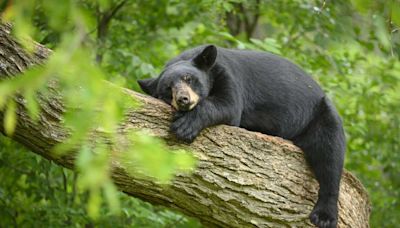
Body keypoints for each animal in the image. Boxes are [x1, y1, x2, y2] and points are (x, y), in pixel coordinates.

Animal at [138, 45, 344, 228]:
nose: (183, 99)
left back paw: (324, 216)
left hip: (319, 114)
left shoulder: (228, 75)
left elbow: (228, 105)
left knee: (330, 154)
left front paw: (185, 126)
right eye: (168, 88)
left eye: (188, 78)